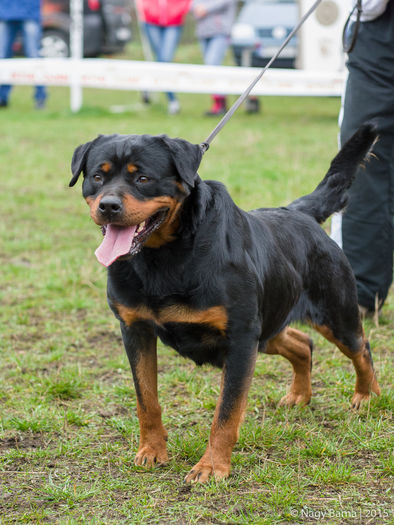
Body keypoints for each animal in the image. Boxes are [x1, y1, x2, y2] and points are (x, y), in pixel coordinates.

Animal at [71, 124, 382, 484]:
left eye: (143, 179)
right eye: (97, 176)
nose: (108, 205)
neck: (162, 257)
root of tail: (297, 212)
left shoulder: (241, 338)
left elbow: (226, 412)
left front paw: (212, 467)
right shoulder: (135, 329)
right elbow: (146, 399)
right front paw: (152, 450)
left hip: (334, 314)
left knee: (360, 347)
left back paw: (367, 396)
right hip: (269, 327)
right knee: (303, 343)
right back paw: (299, 395)